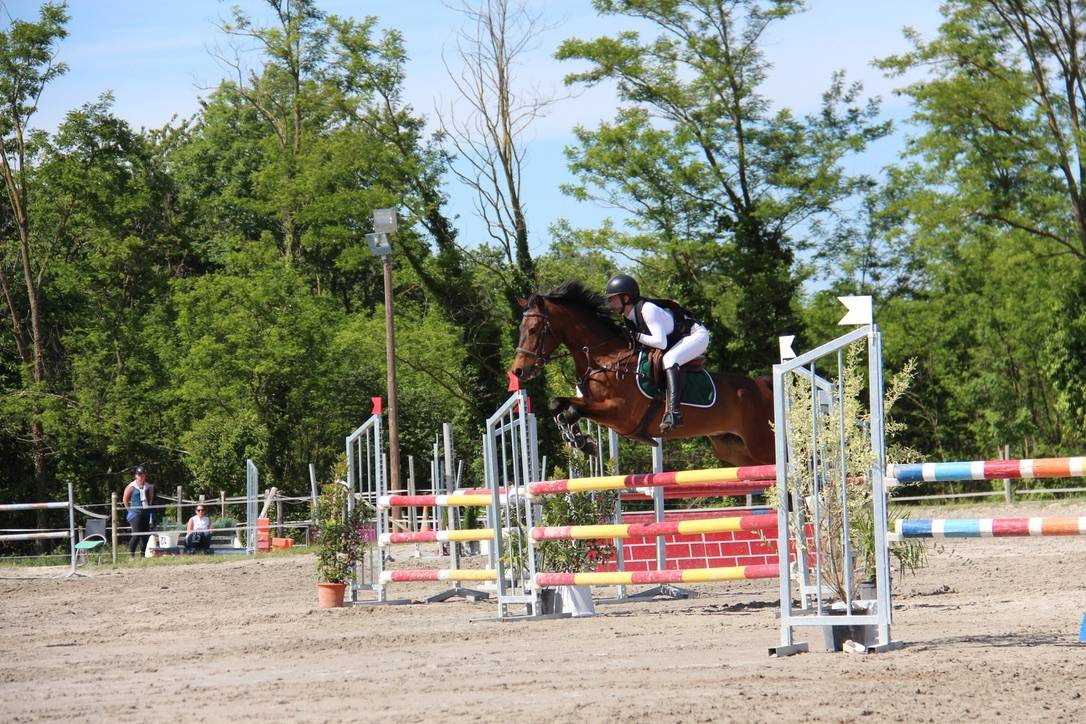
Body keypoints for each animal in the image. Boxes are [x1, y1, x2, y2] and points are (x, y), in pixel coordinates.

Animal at [509, 280, 775, 466]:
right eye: (521, 328)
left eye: (534, 330)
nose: (519, 370)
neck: (605, 358)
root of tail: (764, 385)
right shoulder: (593, 402)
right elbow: (558, 404)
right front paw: (577, 438)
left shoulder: (619, 413)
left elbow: (573, 410)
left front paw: (582, 440)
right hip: (735, 449)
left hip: (762, 445)